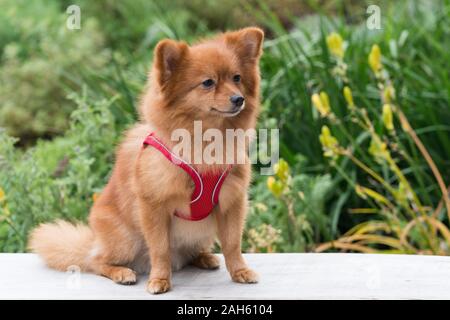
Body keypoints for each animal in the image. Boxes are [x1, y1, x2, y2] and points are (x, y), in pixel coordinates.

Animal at [29, 27, 264, 296]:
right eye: (208, 83)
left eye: (237, 78)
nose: (238, 99)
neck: (206, 143)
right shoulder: (154, 207)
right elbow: (160, 250)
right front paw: (160, 280)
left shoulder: (231, 204)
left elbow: (233, 244)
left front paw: (240, 272)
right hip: (126, 240)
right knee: (95, 261)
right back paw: (122, 272)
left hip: (201, 233)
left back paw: (203, 257)